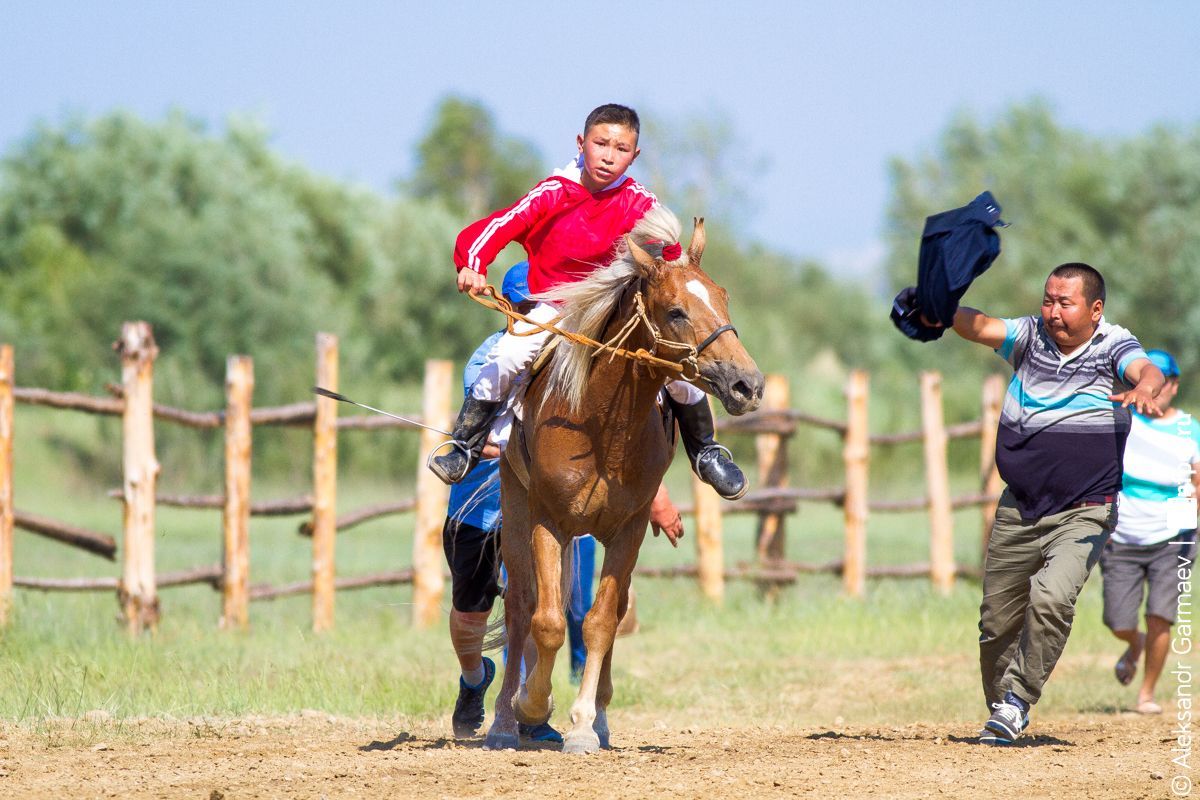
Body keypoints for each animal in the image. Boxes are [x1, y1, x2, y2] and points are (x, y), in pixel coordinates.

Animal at [480, 205, 758, 753]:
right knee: (522, 606)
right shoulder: (547, 521)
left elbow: (602, 621)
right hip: (517, 513)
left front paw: (585, 723)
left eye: (722, 297)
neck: (597, 422)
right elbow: (547, 622)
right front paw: (531, 706)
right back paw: (503, 721)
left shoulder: (628, 529)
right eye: (675, 311)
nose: (747, 383)